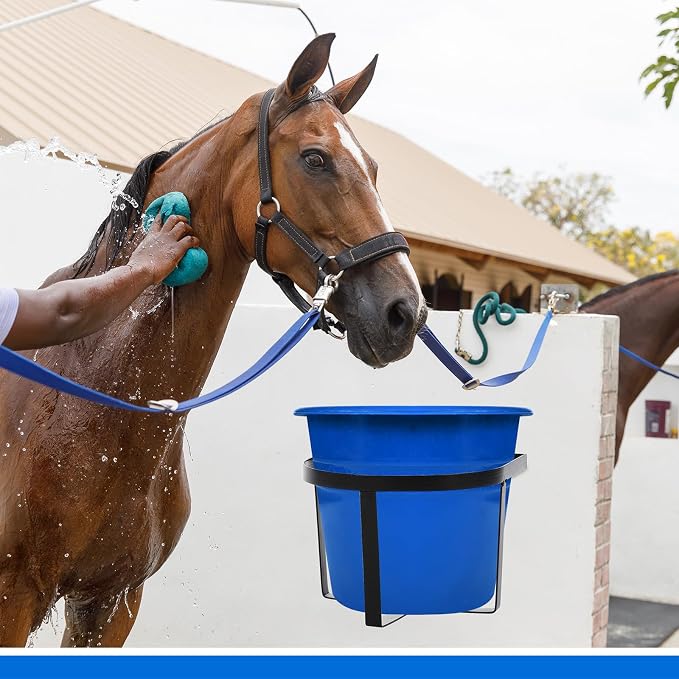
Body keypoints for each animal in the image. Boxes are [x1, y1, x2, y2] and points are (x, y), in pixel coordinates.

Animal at [0, 34, 426, 647]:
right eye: (314, 159)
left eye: (371, 166)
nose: (404, 312)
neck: (90, 396)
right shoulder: (14, 598)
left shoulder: (111, 602)